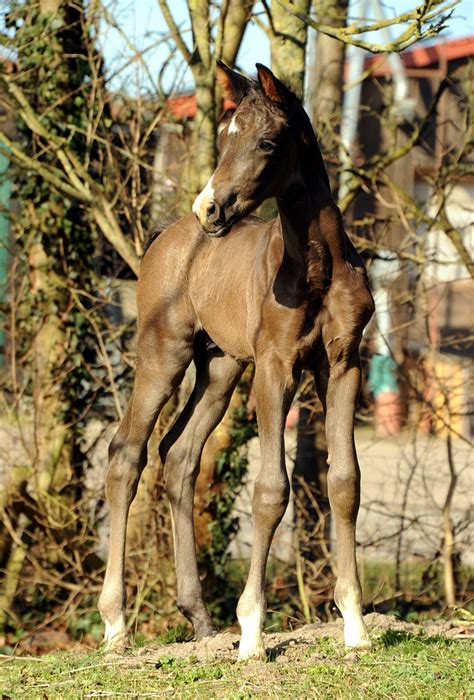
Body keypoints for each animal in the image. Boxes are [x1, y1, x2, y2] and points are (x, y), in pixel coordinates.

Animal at [99, 63, 374, 660]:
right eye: (224, 137)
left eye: (266, 142)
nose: (210, 208)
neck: (317, 267)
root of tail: (167, 235)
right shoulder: (275, 368)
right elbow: (271, 490)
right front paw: (251, 631)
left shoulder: (344, 365)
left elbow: (344, 481)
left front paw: (356, 625)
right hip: (163, 353)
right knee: (126, 453)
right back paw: (115, 624)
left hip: (220, 369)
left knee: (178, 456)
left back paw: (201, 621)